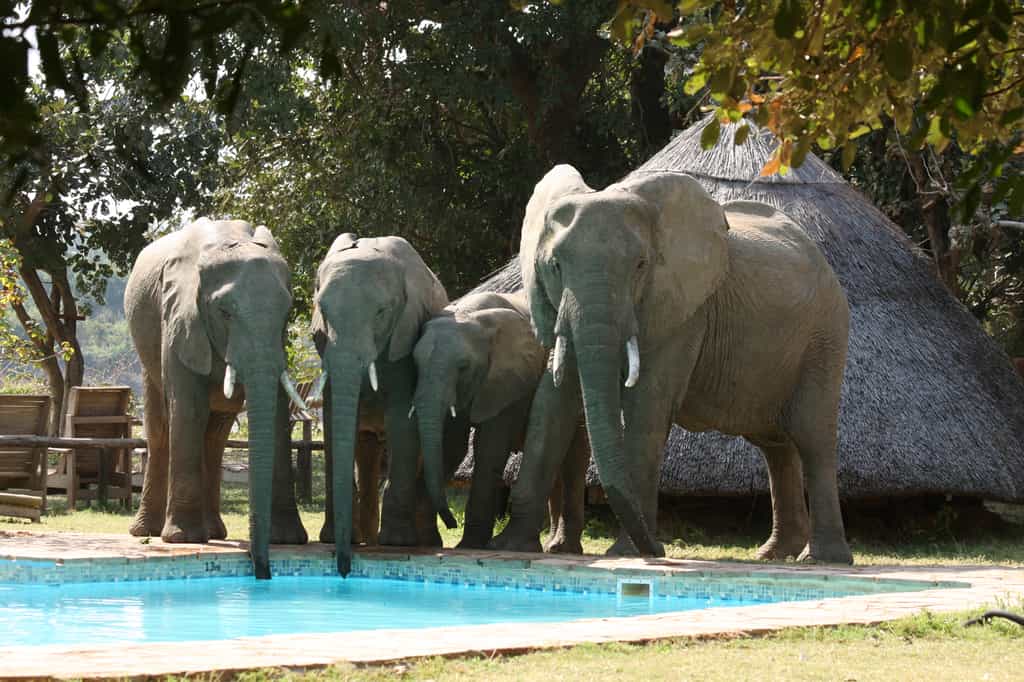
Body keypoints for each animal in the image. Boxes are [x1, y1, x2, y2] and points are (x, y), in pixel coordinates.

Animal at [125, 218, 308, 579]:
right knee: (161, 427)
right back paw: (148, 532)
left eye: (287, 313)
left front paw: (288, 539)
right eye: (224, 312)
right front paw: (182, 539)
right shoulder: (179, 317)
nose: (262, 569)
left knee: (215, 436)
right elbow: (188, 409)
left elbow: (277, 413)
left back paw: (214, 533)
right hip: (147, 350)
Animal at [309, 233, 449, 575]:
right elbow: (333, 423)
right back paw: (367, 539)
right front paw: (335, 539)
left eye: (382, 312)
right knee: (367, 450)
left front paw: (397, 543)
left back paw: (418, 542)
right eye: (322, 310)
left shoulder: (405, 335)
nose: (344, 568)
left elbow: (402, 419)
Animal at [411, 291, 589, 550]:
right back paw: (551, 545)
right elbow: (453, 444)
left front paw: (470, 546)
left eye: (463, 367)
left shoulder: (511, 381)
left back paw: (562, 549)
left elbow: (489, 447)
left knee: (573, 461)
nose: (451, 523)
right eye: (415, 364)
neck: (470, 315)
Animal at [492, 165, 853, 565]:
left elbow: (647, 409)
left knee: (811, 435)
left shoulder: (684, 312)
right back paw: (774, 555)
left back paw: (823, 559)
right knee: (775, 444)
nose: (662, 547)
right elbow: (551, 404)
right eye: (555, 266)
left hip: (825, 335)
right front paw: (511, 547)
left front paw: (628, 553)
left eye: (640, 266)